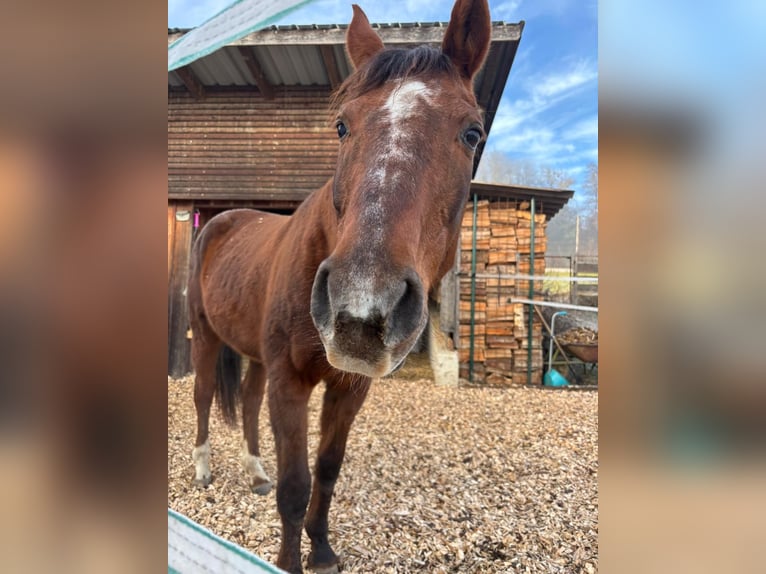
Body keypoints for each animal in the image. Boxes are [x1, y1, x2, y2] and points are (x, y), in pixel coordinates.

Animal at [187, 1, 491, 571]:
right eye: (342, 126)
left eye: (472, 133)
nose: (362, 308)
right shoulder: (290, 380)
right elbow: (295, 485)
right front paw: (288, 559)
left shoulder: (350, 387)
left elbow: (326, 470)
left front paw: (322, 547)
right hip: (206, 335)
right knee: (202, 396)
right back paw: (202, 469)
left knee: (249, 402)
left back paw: (254, 472)